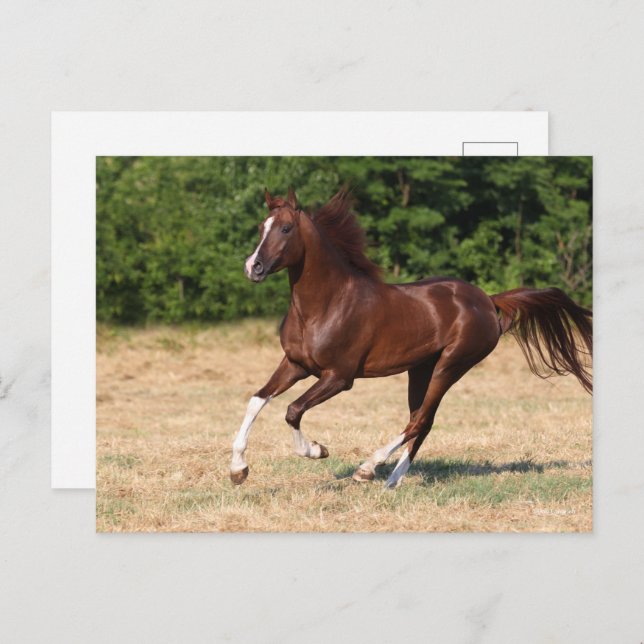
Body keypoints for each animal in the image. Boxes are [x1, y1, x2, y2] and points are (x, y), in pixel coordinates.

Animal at [229, 187, 592, 488]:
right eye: (262, 227)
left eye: (286, 228)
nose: (253, 267)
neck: (326, 304)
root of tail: (488, 301)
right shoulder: (295, 364)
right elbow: (257, 400)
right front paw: (238, 470)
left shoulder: (339, 377)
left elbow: (292, 410)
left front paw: (317, 450)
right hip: (420, 369)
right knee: (422, 421)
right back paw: (392, 481)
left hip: (451, 365)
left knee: (419, 420)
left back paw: (368, 469)